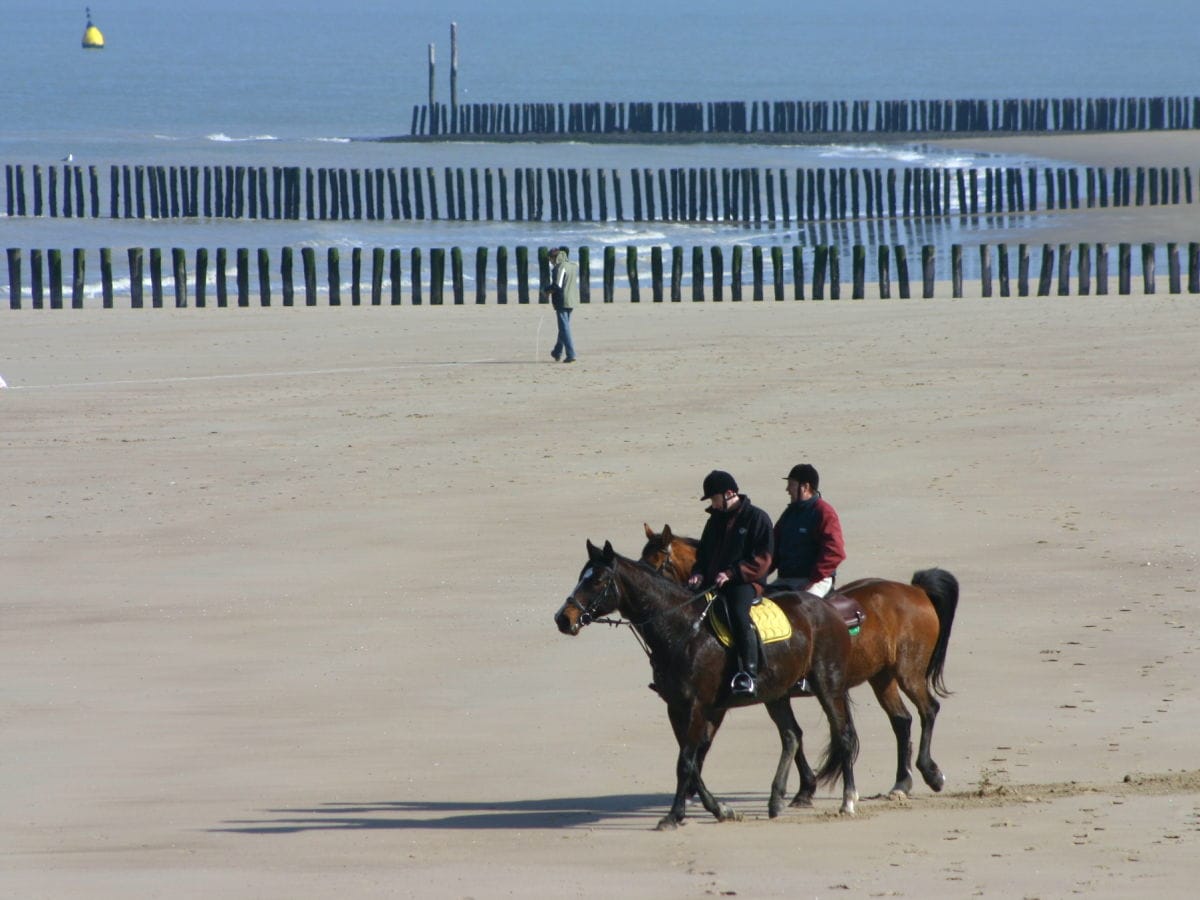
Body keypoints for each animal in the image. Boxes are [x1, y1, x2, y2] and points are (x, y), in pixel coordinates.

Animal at [556, 542, 859, 830]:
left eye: (597, 580)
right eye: (581, 577)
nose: (563, 618)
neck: (683, 628)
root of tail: (828, 609)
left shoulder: (697, 706)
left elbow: (687, 761)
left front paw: (673, 816)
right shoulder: (677, 707)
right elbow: (692, 762)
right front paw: (720, 810)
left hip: (827, 684)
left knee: (842, 735)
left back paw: (848, 801)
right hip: (776, 693)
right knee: (791, 735)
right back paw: (777, 798)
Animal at [643, 525, 960, 801]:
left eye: (655, 562)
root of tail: (915, 590)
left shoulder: (721, 701)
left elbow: (706, 742)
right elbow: (792, 737)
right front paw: (804, 788)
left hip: (909, 672)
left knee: (929, 709)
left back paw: (930, 773)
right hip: (882, 676)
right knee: (901, 720)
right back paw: (901, 782)